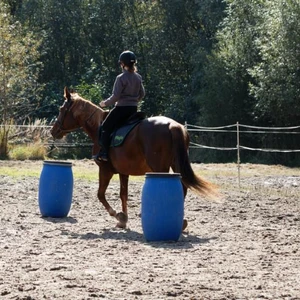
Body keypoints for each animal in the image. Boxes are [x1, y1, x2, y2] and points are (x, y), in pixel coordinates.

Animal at [51, 88, 216, 229]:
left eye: (61, 110)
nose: (53, 131)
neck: (98, 127)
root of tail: (173, 126)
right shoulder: (123, 172)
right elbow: (123, 195)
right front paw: (123, 220)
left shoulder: (105, 170)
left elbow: (100, 194)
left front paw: (118, 215)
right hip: (175, 165)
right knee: (183, 188)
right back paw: (181, 223)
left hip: (160, 168)